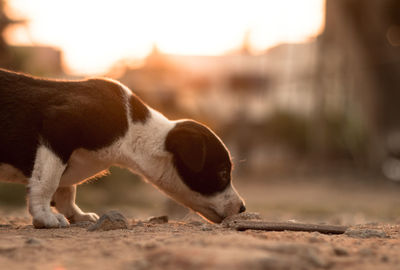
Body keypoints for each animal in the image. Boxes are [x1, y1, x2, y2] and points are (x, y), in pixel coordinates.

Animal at [0, 69, 245, 228]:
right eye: (223, 173)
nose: (242, 208)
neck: (132, 130)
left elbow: (66, 190)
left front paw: (77, 215)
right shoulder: (58, 129)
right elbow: (47, 182)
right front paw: (44, 216)